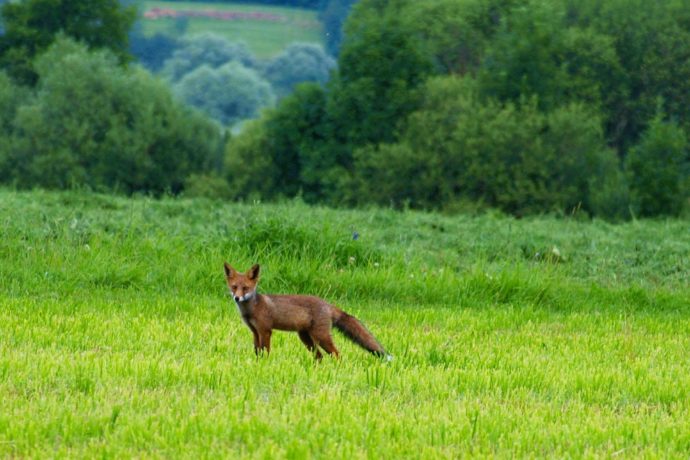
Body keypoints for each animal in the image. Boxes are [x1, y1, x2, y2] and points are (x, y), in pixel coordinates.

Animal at [224, 262, 390, 360]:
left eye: (245, 288)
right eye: (234, 287)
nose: (237, 298)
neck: (252, 309)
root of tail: (327, 304)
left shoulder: (265, 331)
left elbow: (265, 350)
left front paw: (265, 364)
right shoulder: (255, 332)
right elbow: (257, 351)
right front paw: (257, 363)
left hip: (321, 337)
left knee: (336, 354)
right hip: (306, 338)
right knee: (320, 357)